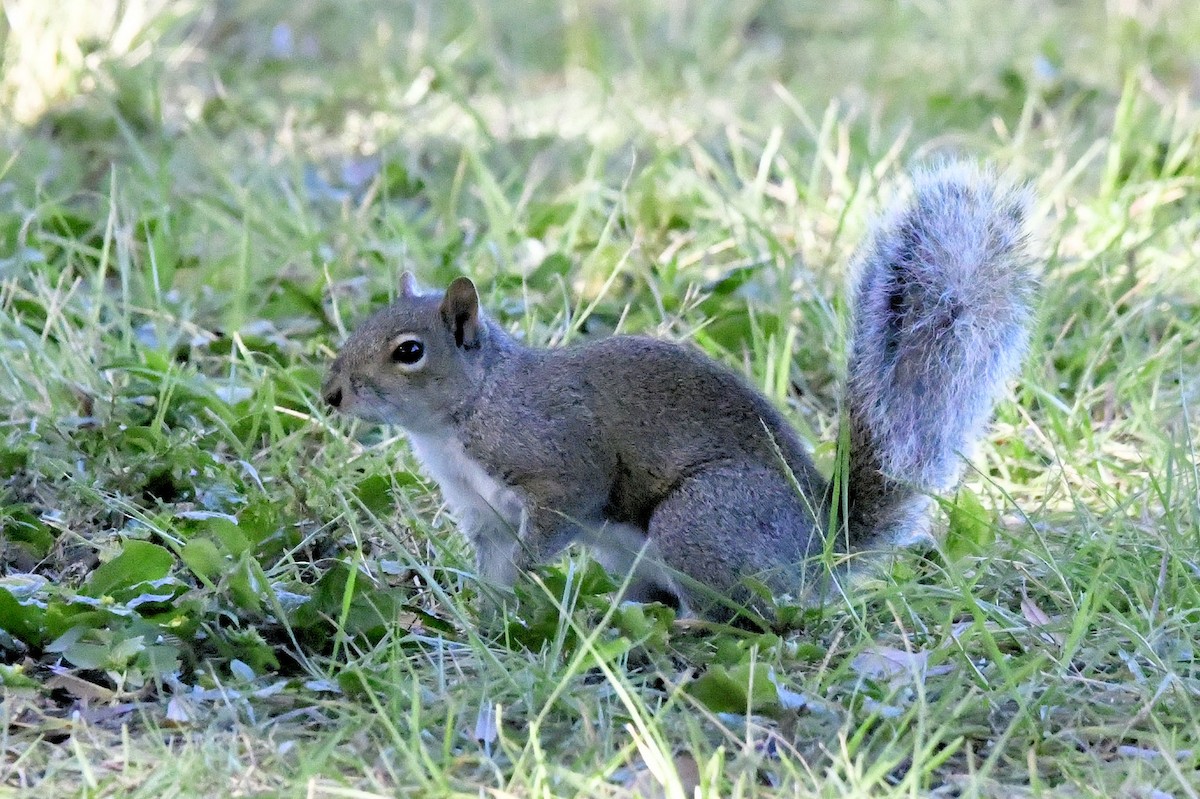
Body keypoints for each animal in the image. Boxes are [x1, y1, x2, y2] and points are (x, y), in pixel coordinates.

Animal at [322, 162, 1036, 622]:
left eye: (409, 351)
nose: (332, 394)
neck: (464, 415)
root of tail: (819, 548)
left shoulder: (558, 460)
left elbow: (559, 514)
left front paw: (526, 579)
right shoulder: (481, 512)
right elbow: (493, 568)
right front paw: (485, 621)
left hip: (701, 521)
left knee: (737, 615)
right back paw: (615, 615)